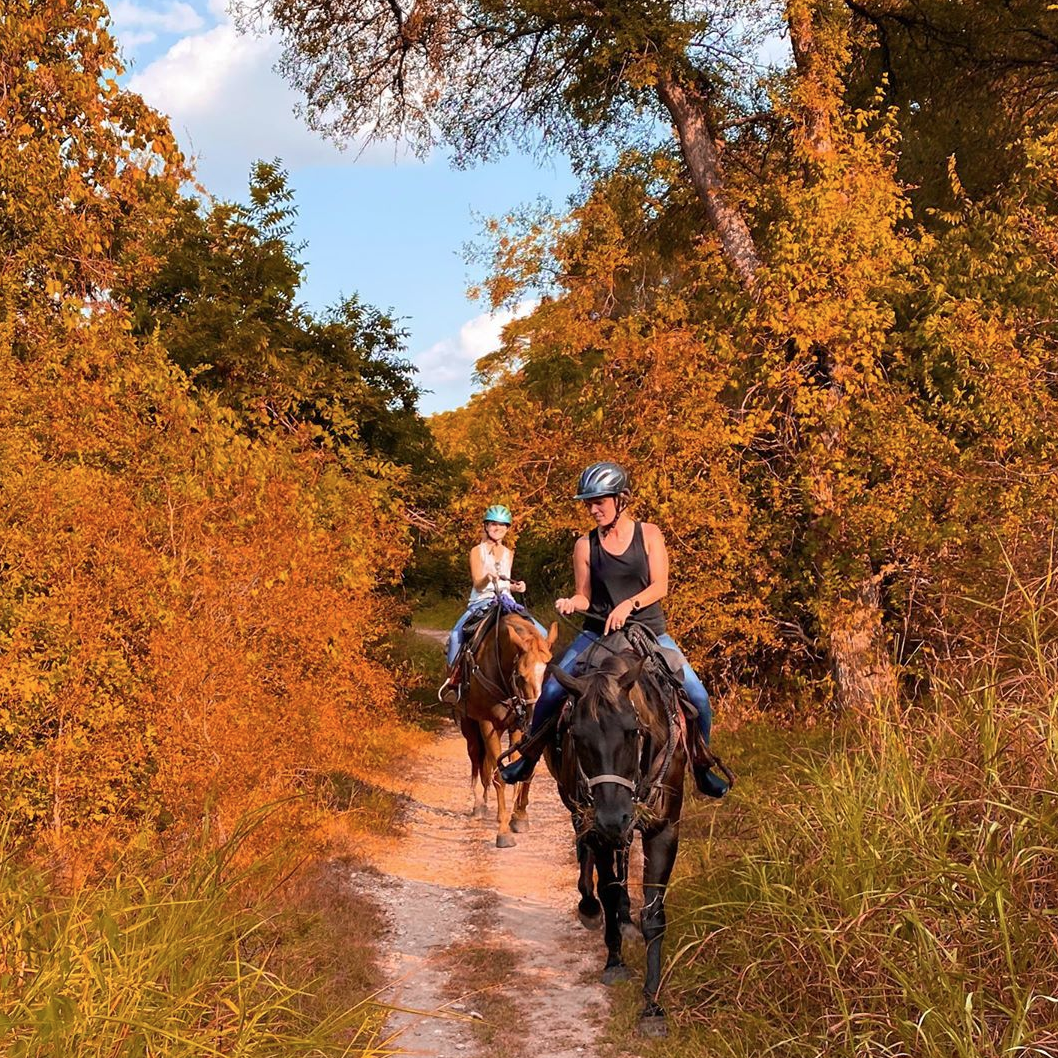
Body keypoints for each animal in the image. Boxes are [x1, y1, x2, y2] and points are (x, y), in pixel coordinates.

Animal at [461, 609, 562, 846]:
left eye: (549, 674)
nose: (537, 715)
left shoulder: (518, 727)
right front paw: (504, 832)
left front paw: (519, 817)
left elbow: (521, 770)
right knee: (477, 760)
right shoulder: (487, 724)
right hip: (470, 726)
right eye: (521, 676)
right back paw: (480, 805)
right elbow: (498, 775)